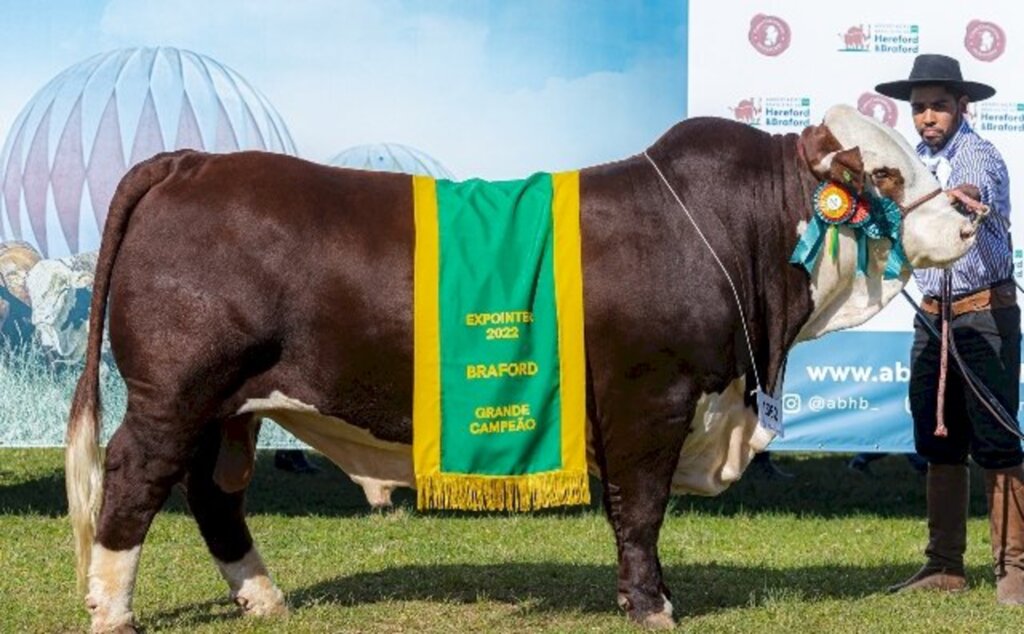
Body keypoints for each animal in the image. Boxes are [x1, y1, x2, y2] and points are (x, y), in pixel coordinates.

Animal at [64, 106, 974, 630]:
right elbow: (640, 511)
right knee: (135, 476)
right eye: (883, 172)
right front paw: (652, 606)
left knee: (213, 493)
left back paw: (263, 597)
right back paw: (111, 610)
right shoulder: (652, 398)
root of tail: (194, 160)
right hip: (176, 389)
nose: (970, 220)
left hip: (232, 406)